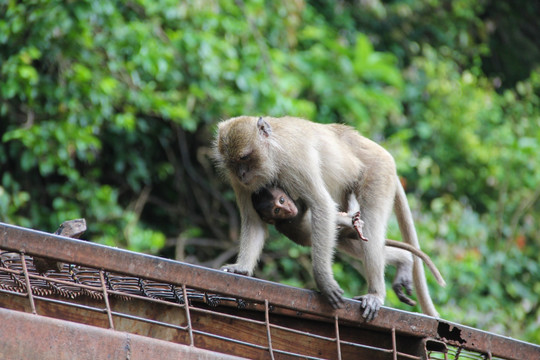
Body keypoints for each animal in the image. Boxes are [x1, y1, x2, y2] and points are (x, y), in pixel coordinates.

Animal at [213, 114, 440, 318]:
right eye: (232, 163)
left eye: (244, 157)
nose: (242, 174)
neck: (273, 151)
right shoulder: (242, 185)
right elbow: (254, 221)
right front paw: (241, 269)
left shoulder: (294, 160)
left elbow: (321, 205)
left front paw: (324, 281)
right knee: (350, 238)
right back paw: (405, 261)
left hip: (378, 171)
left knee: (371, 227)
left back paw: (376, 293)